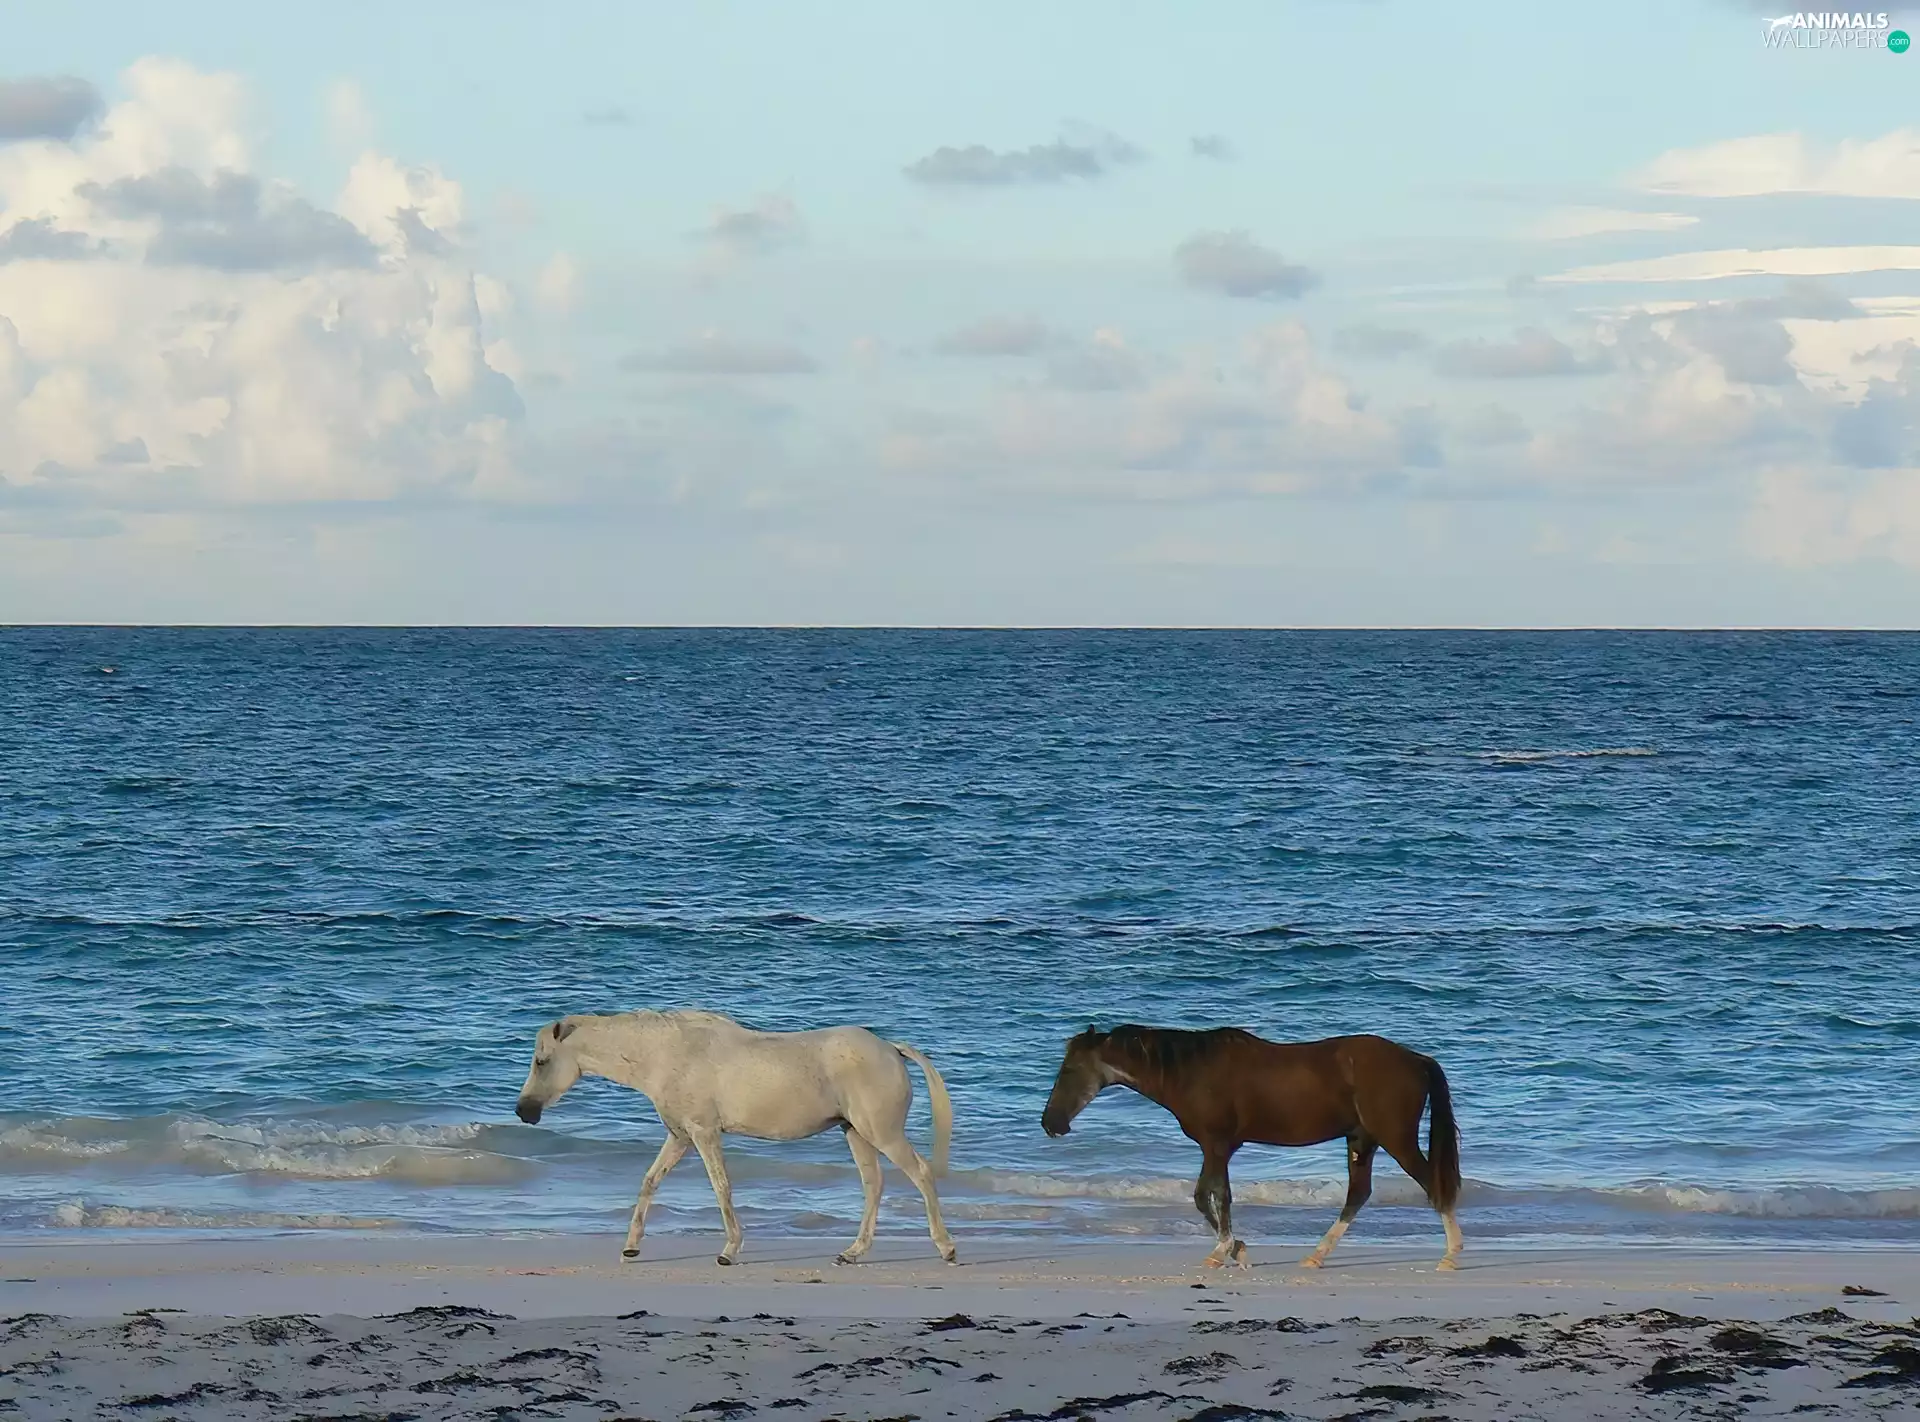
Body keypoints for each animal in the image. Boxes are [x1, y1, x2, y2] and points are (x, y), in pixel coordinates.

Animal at [515, 1009, 958, 1266]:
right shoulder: (679, 1136)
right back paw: (852, 1252)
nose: (523, 1112)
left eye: (542, 1061)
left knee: (920, 1174)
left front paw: (729, 1251)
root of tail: (891, 1049)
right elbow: (650, 1182)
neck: (668, 1053)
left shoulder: (703, 1132)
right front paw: (631, 1247)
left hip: (881, 1133)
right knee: (874, 1185)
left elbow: (721, 1187)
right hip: (856, 1133)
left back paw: (946, 1247)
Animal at [1042, 1025, 1461, 1271]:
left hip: (1395, 1138)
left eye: (1069, 1071)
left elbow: (1212, 1196)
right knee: (1358, 1194)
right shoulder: (1218, 1149)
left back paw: (1451, 1255)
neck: (1193, 1073)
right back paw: (1315, 1256)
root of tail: (1417, 1060)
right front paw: (1236, 1248)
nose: (1051, 1124)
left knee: (1432, 1184)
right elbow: (1210, 1195)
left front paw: (1225, 1249)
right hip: (1362, 1139)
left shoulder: (1216, 1145)